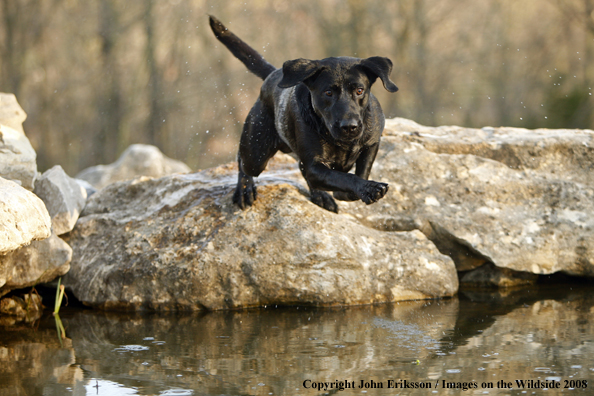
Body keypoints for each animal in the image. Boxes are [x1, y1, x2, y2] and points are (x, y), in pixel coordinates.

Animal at [208, 15, 398, 213]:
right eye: (328, 93)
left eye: (360, 90)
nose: (349, 127)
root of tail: (272, 75)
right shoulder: (314, 167)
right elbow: (344, 177)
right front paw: (368, 188)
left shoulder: (372, 143)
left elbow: (362, 170)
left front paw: (349, 192)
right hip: (256, 152)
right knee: (243, 163)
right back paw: (244, 190)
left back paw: (321, 196)